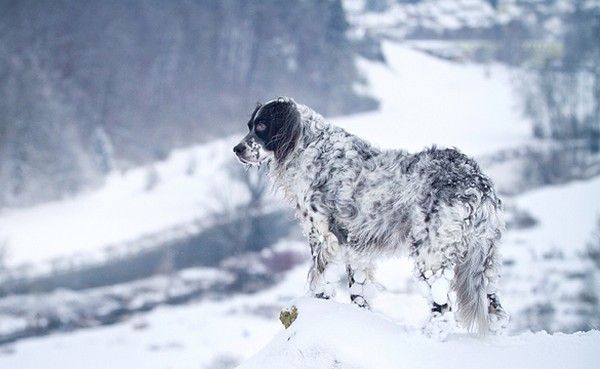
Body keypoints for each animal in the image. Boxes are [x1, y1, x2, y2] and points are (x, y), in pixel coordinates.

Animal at [234, 97, 510, 336]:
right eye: (249, 125)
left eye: (261, 126)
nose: (237, 149)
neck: (310, 149)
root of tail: (478, 182)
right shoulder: (354, 244)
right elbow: (357, 290)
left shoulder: (323, 236)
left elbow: (321, 280)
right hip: (481, 261)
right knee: (496, 310)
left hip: (431, 254)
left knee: (442, 308)